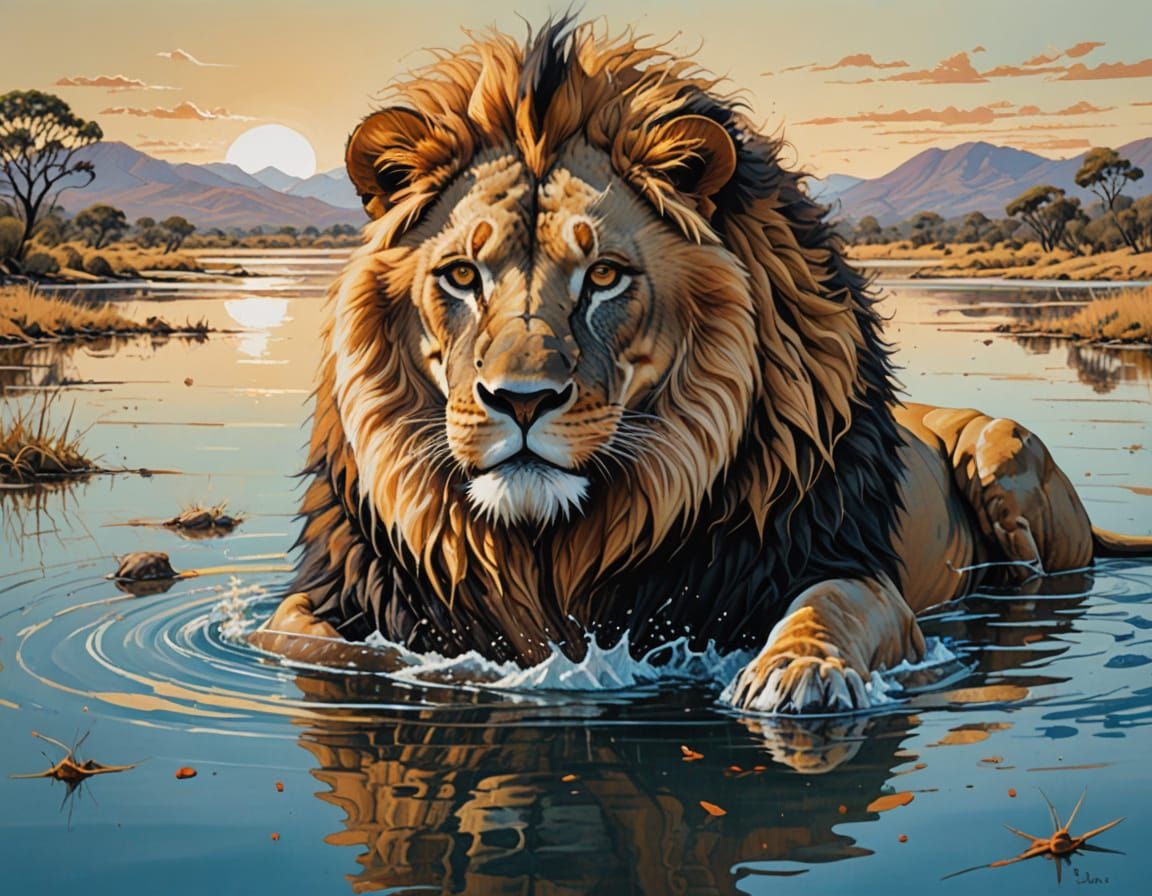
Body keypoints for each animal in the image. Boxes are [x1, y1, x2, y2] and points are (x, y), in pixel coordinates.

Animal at [251, 21, 1152, 714]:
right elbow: (296, 636)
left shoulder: (852, 574)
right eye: (463, 276)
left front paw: (800, 673)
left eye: (604, 276)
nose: (521, 401)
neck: (554, 548)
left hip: (1000, 456)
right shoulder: (347, 594)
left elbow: (831, 605)